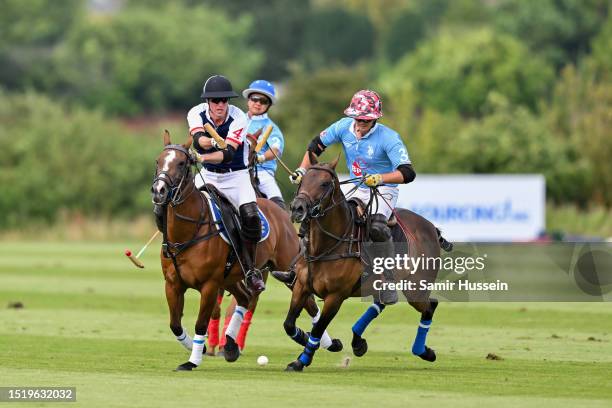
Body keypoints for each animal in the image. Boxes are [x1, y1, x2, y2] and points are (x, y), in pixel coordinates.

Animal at [148, 131, 340, 370]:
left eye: (182, 163)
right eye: (158, 161)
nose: (159, 191)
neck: (190, 230)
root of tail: (279, 209)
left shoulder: (210, 285)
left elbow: (201, 323)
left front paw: (193, 360)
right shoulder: (173, 284)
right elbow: (175, 324)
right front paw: (199, 347)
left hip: (285, 267)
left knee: (310, 304)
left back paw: (327, 342)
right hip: (232, 276)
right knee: (246, 297)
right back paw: (231, 346)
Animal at [280, 155, 444, 372]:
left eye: (325, 183)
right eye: (303, 180)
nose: (297, 208)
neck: (326, 247)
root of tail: (431, 227)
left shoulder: (336, 296)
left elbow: (318, 328)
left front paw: (302, 360)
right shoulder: (301, 286)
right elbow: (289, 324)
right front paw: (308, 341)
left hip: (415, 288)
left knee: (429, 306)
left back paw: (424, 352)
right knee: (381, 302)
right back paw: (358, 341)